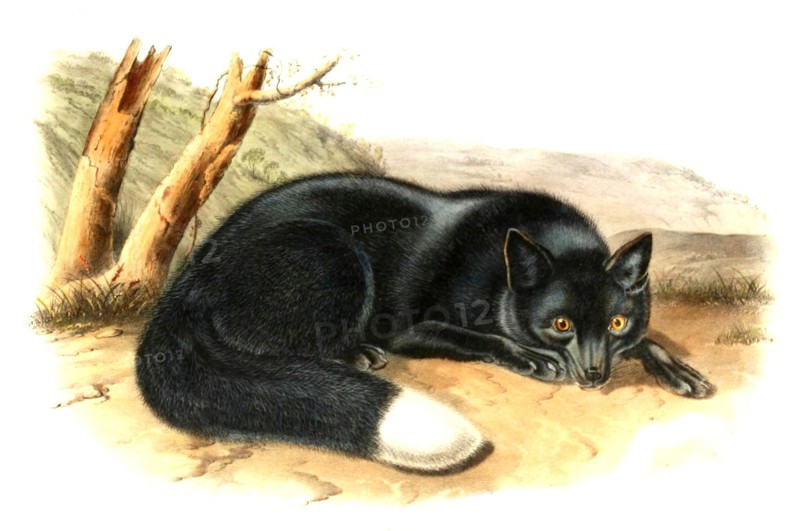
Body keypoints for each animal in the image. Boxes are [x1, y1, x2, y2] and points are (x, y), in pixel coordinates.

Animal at [136, 173, 715, 474]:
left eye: (616, 322)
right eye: (560, 324)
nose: (593, 377)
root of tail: (191, 278)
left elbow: (648, 342)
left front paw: (682, 373)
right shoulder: (410, 328)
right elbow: (481, 338)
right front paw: (530, 358)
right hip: (333, 251)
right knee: (272, 348)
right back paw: (358, 355)